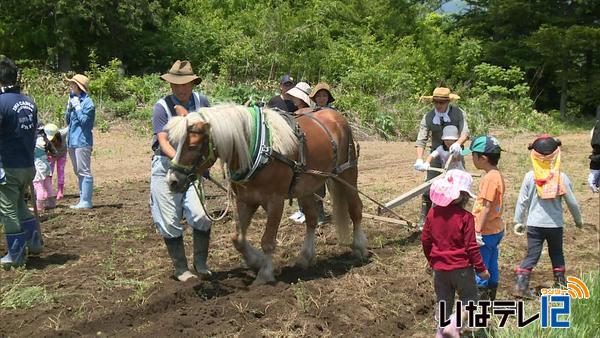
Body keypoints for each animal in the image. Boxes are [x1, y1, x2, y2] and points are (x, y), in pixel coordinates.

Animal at [166, 103, 368, 286]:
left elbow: (267, 241)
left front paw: (265, 274)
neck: (258, 150)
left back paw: (360, 248)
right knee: (311, 220)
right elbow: (237, 239)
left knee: (356, 210)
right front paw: (256, 263)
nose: (172, 181)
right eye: (175, 143)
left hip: (347, 173)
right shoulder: (245, 200)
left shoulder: (275, 201)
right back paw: (305, 258)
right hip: (306, 187)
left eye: (193, 146)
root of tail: (335, 114)